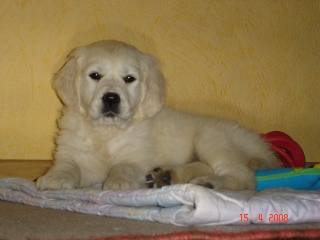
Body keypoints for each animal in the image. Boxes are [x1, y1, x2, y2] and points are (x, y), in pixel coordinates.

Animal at [36, 40, 278, 191]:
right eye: (95, 75)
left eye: (129, 79)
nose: (112, 98)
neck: (106, 131)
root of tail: (256, 141)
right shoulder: (74, 154)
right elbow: (67, 164)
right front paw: (55, 178)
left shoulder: (137, 156)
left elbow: (123, 166)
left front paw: (119, 181)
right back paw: (166, 175)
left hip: (212, 139)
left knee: (244, 178)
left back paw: (209, 183)